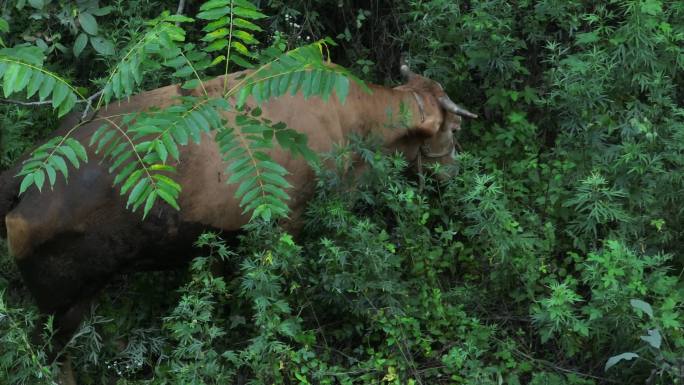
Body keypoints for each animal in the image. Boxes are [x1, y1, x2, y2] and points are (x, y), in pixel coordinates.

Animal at [1, 65, 476, 348]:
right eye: (453, 129)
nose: (456, 172)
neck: (353, 122)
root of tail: (23, 174)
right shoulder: (289, 220)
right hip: (61, 307)